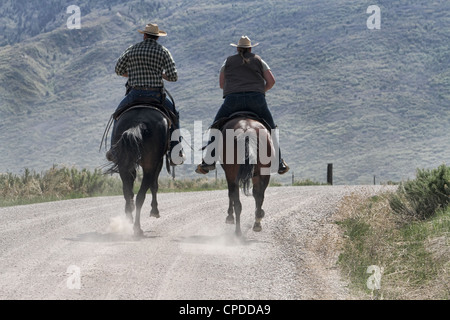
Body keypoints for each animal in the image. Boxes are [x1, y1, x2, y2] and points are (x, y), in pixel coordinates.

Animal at [106, 106, 171, 236]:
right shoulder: (158, 162)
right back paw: (137, 228)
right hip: (150, 165)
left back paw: (129, 219)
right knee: (141, 195)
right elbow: (154, 185)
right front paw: (154, 210)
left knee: (128, 193)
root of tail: (138, 123)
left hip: (124, 165)